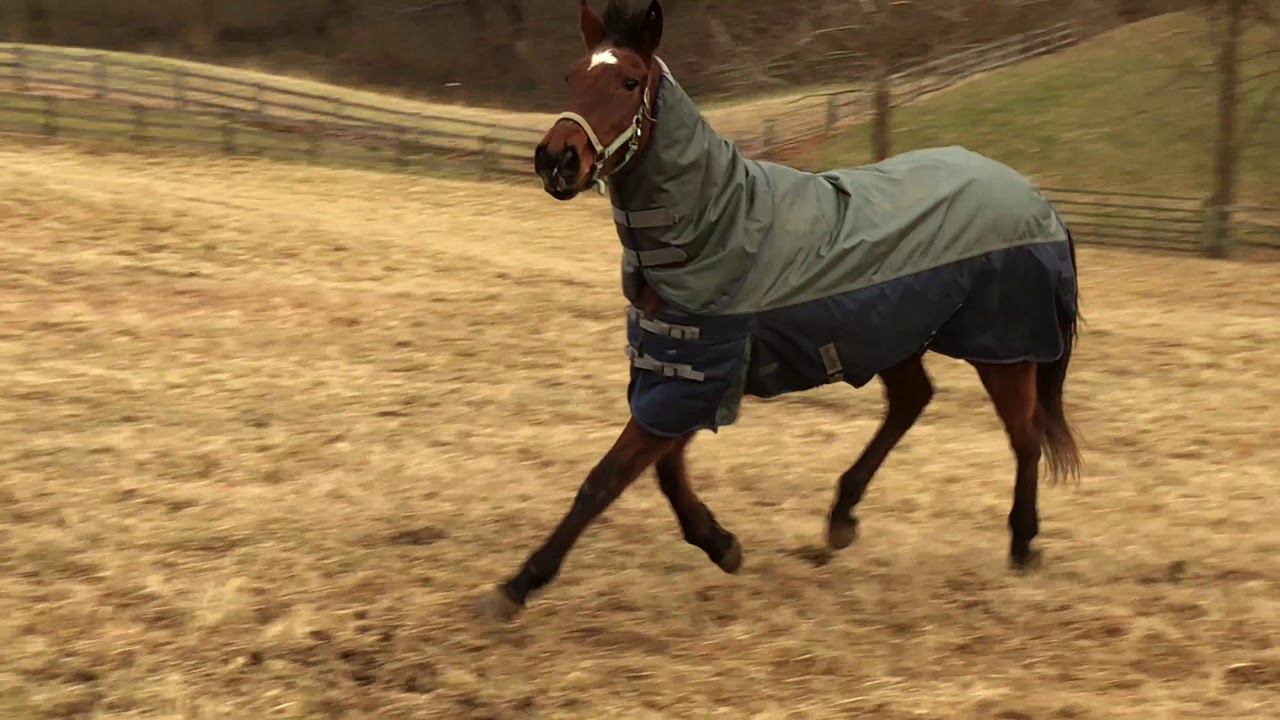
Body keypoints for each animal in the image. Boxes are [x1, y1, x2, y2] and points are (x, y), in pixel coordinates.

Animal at [474, 0, 1082, 622]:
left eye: (629, 81)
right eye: (572, 76)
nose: (556, 160)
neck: (715, 225)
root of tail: (1041, 203)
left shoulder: (697, 378)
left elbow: (609, 477)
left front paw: (519, 584)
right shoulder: (680, 376)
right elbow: (665, 471)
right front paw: (720, 543)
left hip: (1004, 350)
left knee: (1025, 435)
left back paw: (1022, 544)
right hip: (891, 337)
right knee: (914, 402)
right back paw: (840, 519)